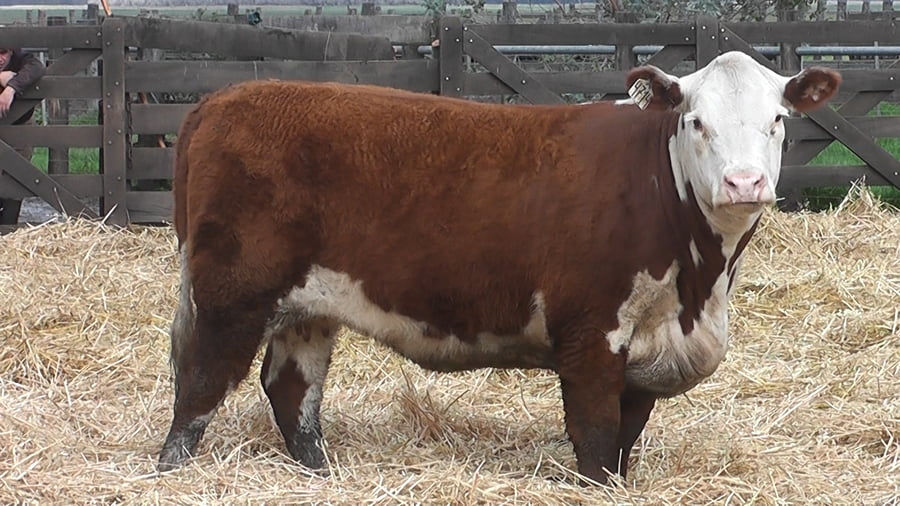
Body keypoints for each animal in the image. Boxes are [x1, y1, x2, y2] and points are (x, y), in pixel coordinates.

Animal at [158, 51, 840, 485]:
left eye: (778, 120)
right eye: (697, 121)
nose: (744, 182)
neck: (699, 290)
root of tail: (221, 100)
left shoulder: (649, 350)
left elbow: (626, 438)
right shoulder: (589, 333)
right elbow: (596, 439)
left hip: (308, 303)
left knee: (292, 390)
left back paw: (321, 473)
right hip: (230, 292)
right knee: (198, 383)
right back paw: (170, 470)